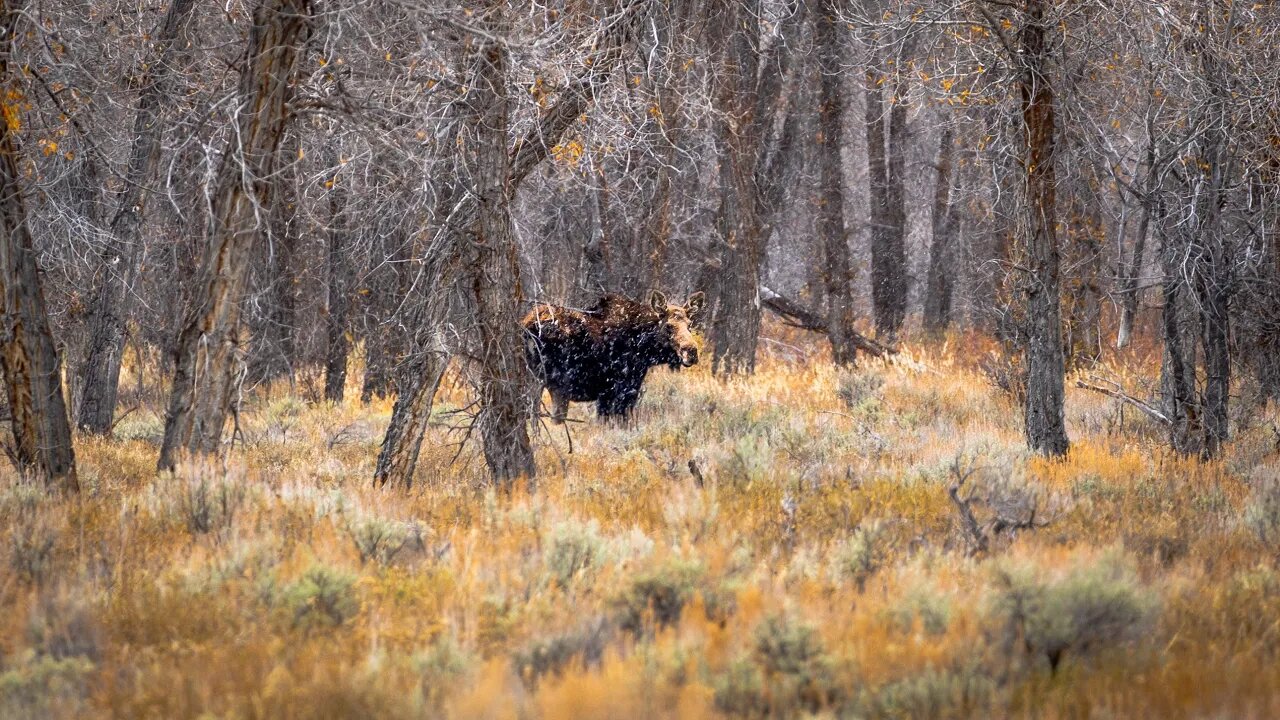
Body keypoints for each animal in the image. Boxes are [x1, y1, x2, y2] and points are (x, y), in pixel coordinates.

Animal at [522, 286, 711, 420]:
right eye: (669, 326)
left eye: (689, 325)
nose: (691, 352)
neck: (645, 349)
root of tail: (526, 326)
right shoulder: (620, 389)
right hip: (545, 380)